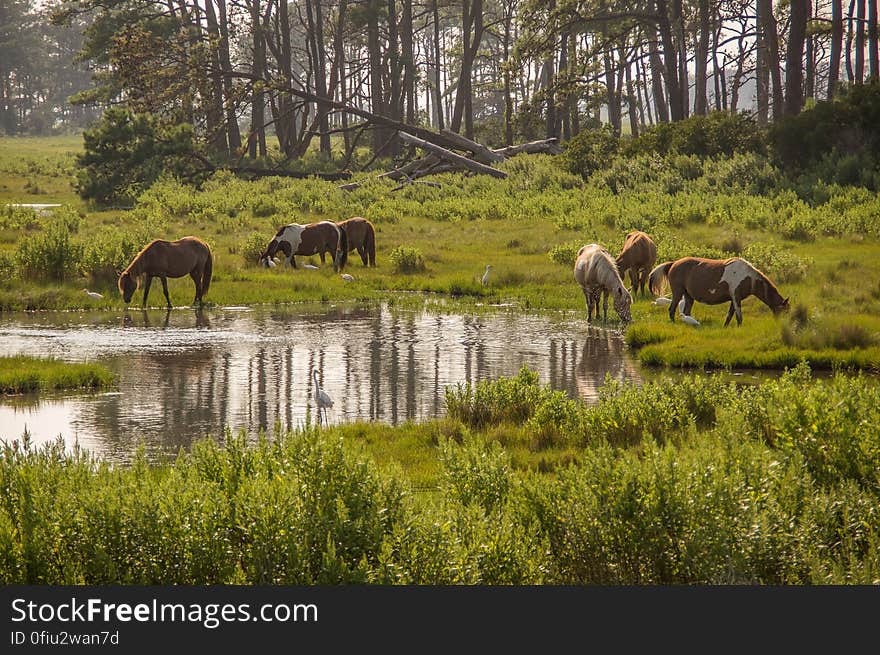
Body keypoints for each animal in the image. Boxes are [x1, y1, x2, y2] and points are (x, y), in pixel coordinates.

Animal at [648, 258, 792, 326]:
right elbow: (739, 316)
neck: (748, 278)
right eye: (784, 311)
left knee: (686, 312)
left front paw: (726, 327)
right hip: (678, 293)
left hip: (688, 296)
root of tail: (673, 264)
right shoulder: (736, 298)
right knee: (671, 309)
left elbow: (730, 315)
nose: (783, 325)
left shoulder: (734, 299)